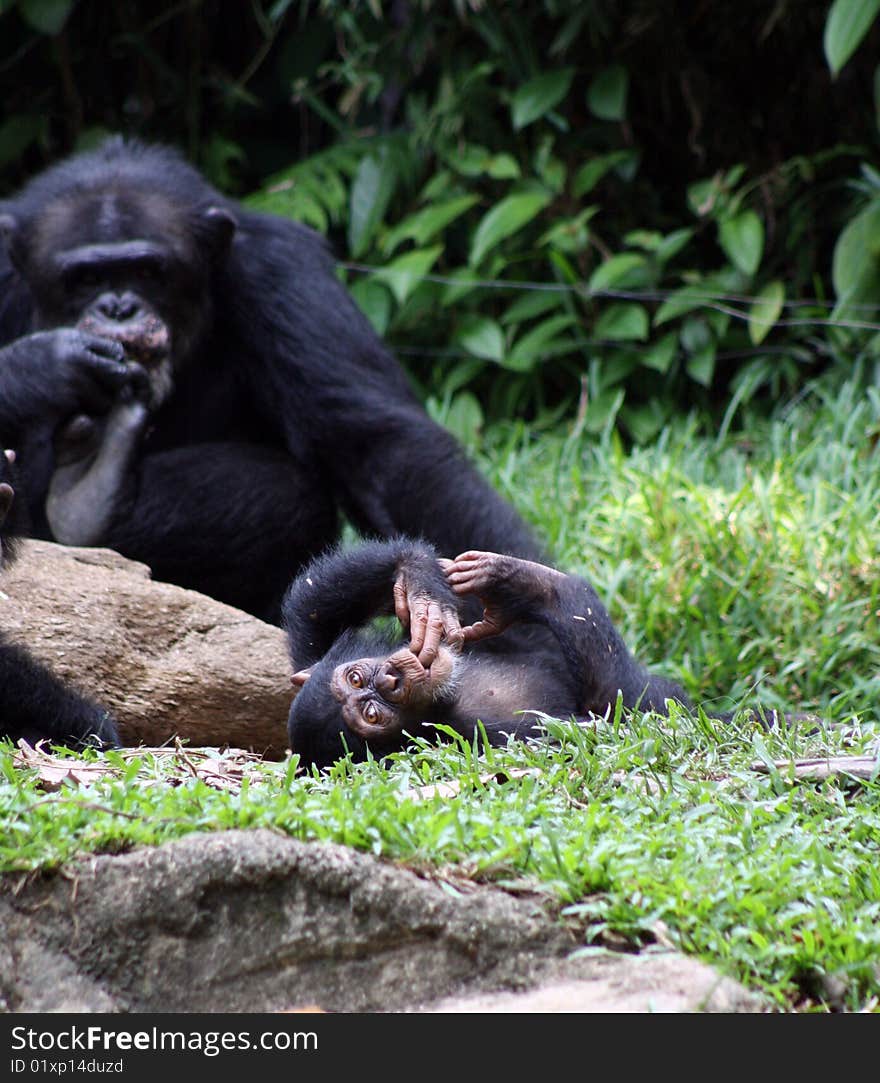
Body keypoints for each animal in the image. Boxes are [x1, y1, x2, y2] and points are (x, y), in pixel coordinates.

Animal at [0, 139, 543, 623]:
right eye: (85, 279)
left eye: (150, 271)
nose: (119, 307)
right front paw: (47, 362)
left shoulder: (282, 272)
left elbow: (378, 446)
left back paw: (90, 494)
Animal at [281, 537, 688, 766]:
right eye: (371, 714)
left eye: (355, 677)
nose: (389, 680)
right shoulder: (488, 740)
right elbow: (612, 716)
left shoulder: (310, 654)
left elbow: (310, 605)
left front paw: (418, 581)